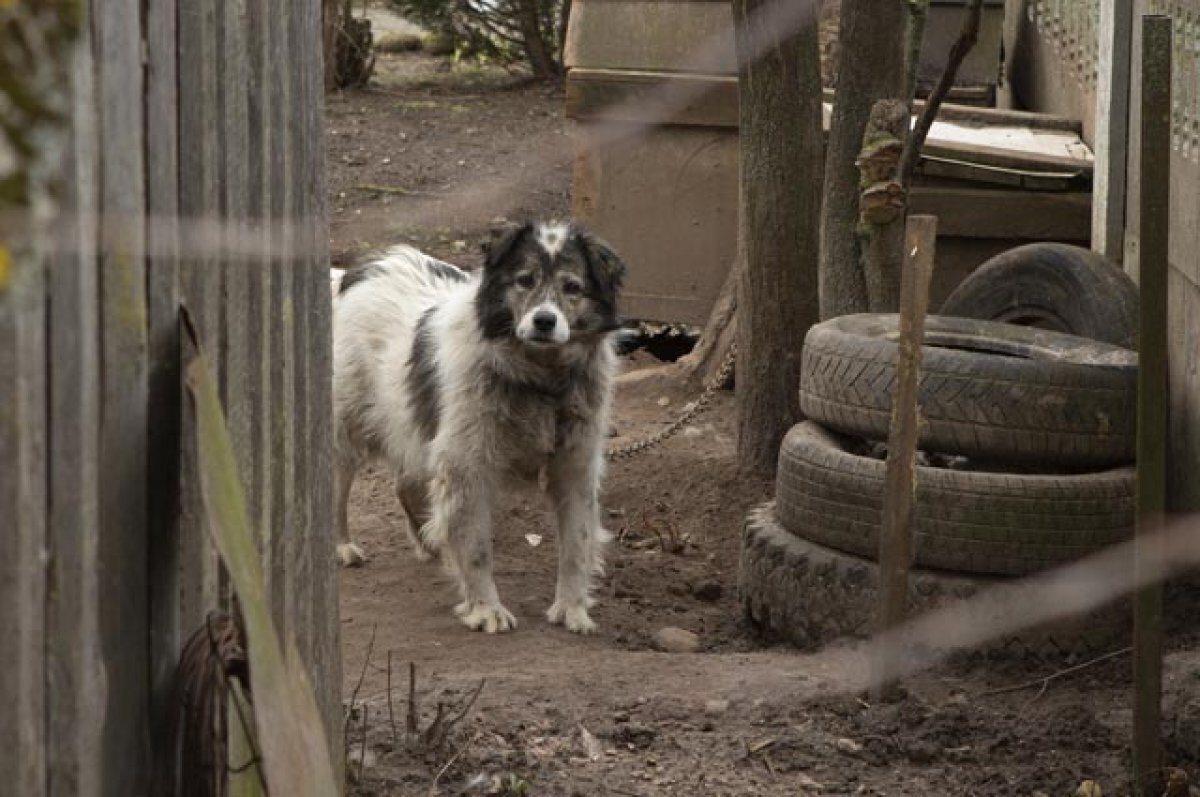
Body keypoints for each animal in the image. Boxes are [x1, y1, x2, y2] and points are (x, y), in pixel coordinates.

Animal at [331, 222, 628, 633]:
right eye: (524, 280)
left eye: (573, 287)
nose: (545, 321)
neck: (540, 379)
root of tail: (357, 270)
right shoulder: (466, 465)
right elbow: (475, 548)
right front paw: (486, 609)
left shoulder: (575, 466)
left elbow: (576, 544)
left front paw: (572, 608)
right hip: (348, 430)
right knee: (337, 489)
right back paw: (343, 546)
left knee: (406, 484)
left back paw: (429, 541)